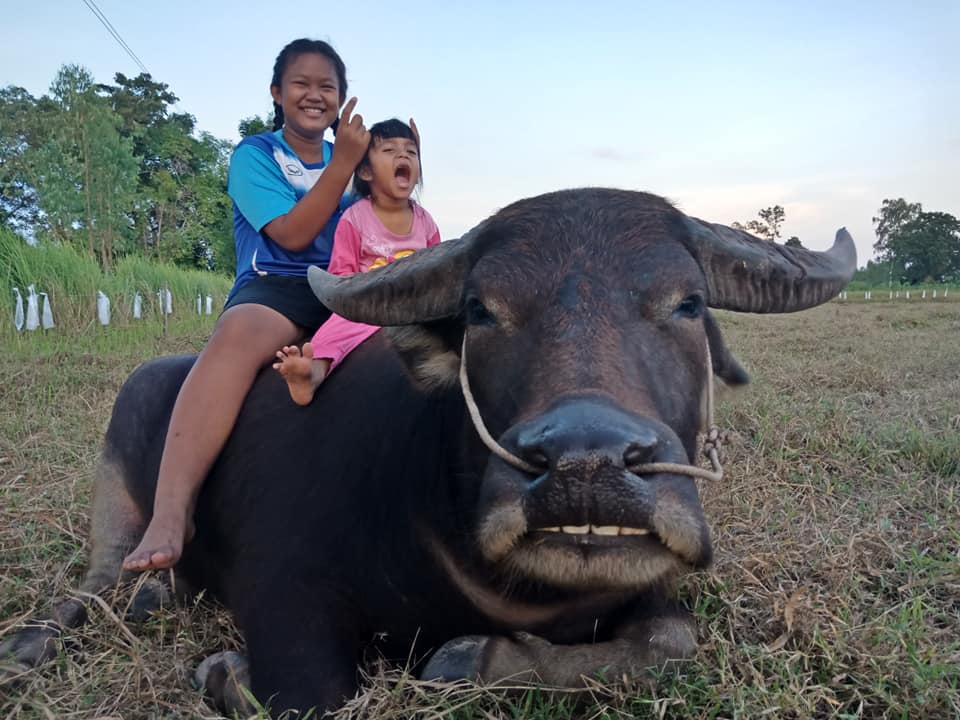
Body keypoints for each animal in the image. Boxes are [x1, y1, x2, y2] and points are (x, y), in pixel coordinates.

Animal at [0, 188, 856, 716]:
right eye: (481, 310)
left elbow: (675, 637)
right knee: (100, 579)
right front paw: (224, 671)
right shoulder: (284, 590)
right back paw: (43, 635)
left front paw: (474, 658)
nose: (586, 465)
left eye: (688, 303)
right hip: (125, 453)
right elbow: (312, 692)